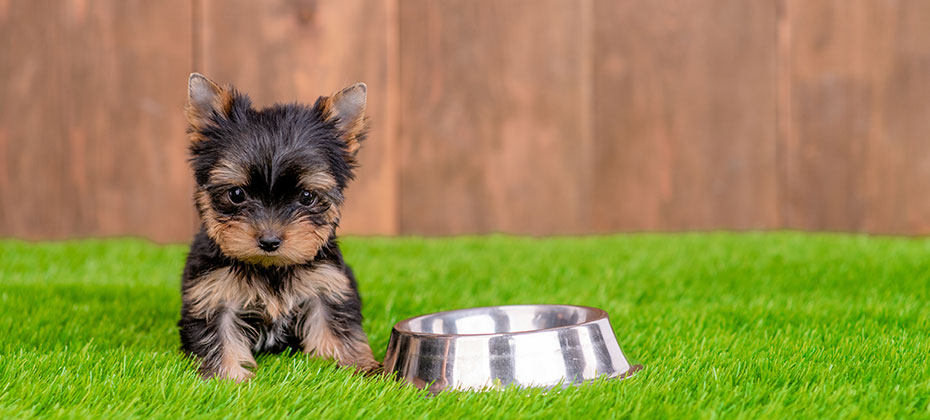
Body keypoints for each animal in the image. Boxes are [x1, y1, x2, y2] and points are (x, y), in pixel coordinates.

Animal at [176, 74, 378, 382]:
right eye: (236, 194)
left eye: (306, 197)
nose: (269, 241)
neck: (270, 267)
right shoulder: (213, 292)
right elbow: (219, 336)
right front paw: (230, 378)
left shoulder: (327, 284)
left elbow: (336, 327)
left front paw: (356, 368)